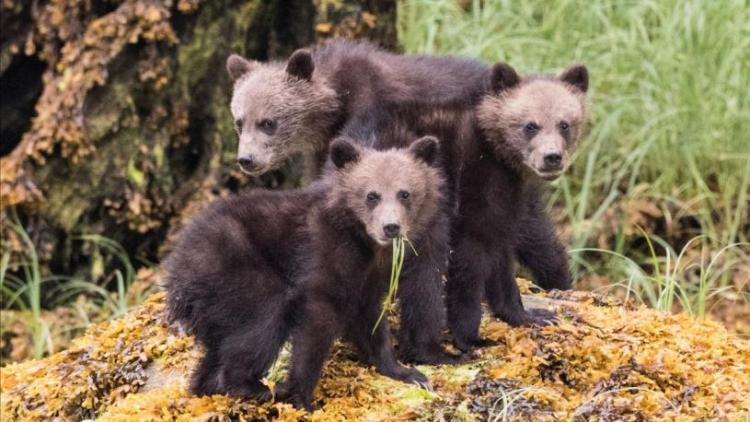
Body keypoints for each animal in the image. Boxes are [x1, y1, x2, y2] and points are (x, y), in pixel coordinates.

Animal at [164, 135, 445, 409]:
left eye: (404, 193)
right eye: (371, 195)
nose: (391, 227)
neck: (360, 239)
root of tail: (176, 273)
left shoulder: (368, 278)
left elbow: (371, 321)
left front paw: (409, 373)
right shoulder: (323, 255)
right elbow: (316, 323)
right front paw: (303, 396)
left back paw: (206, 385)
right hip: (229, 264)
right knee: (264, 315)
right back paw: (253, 386)